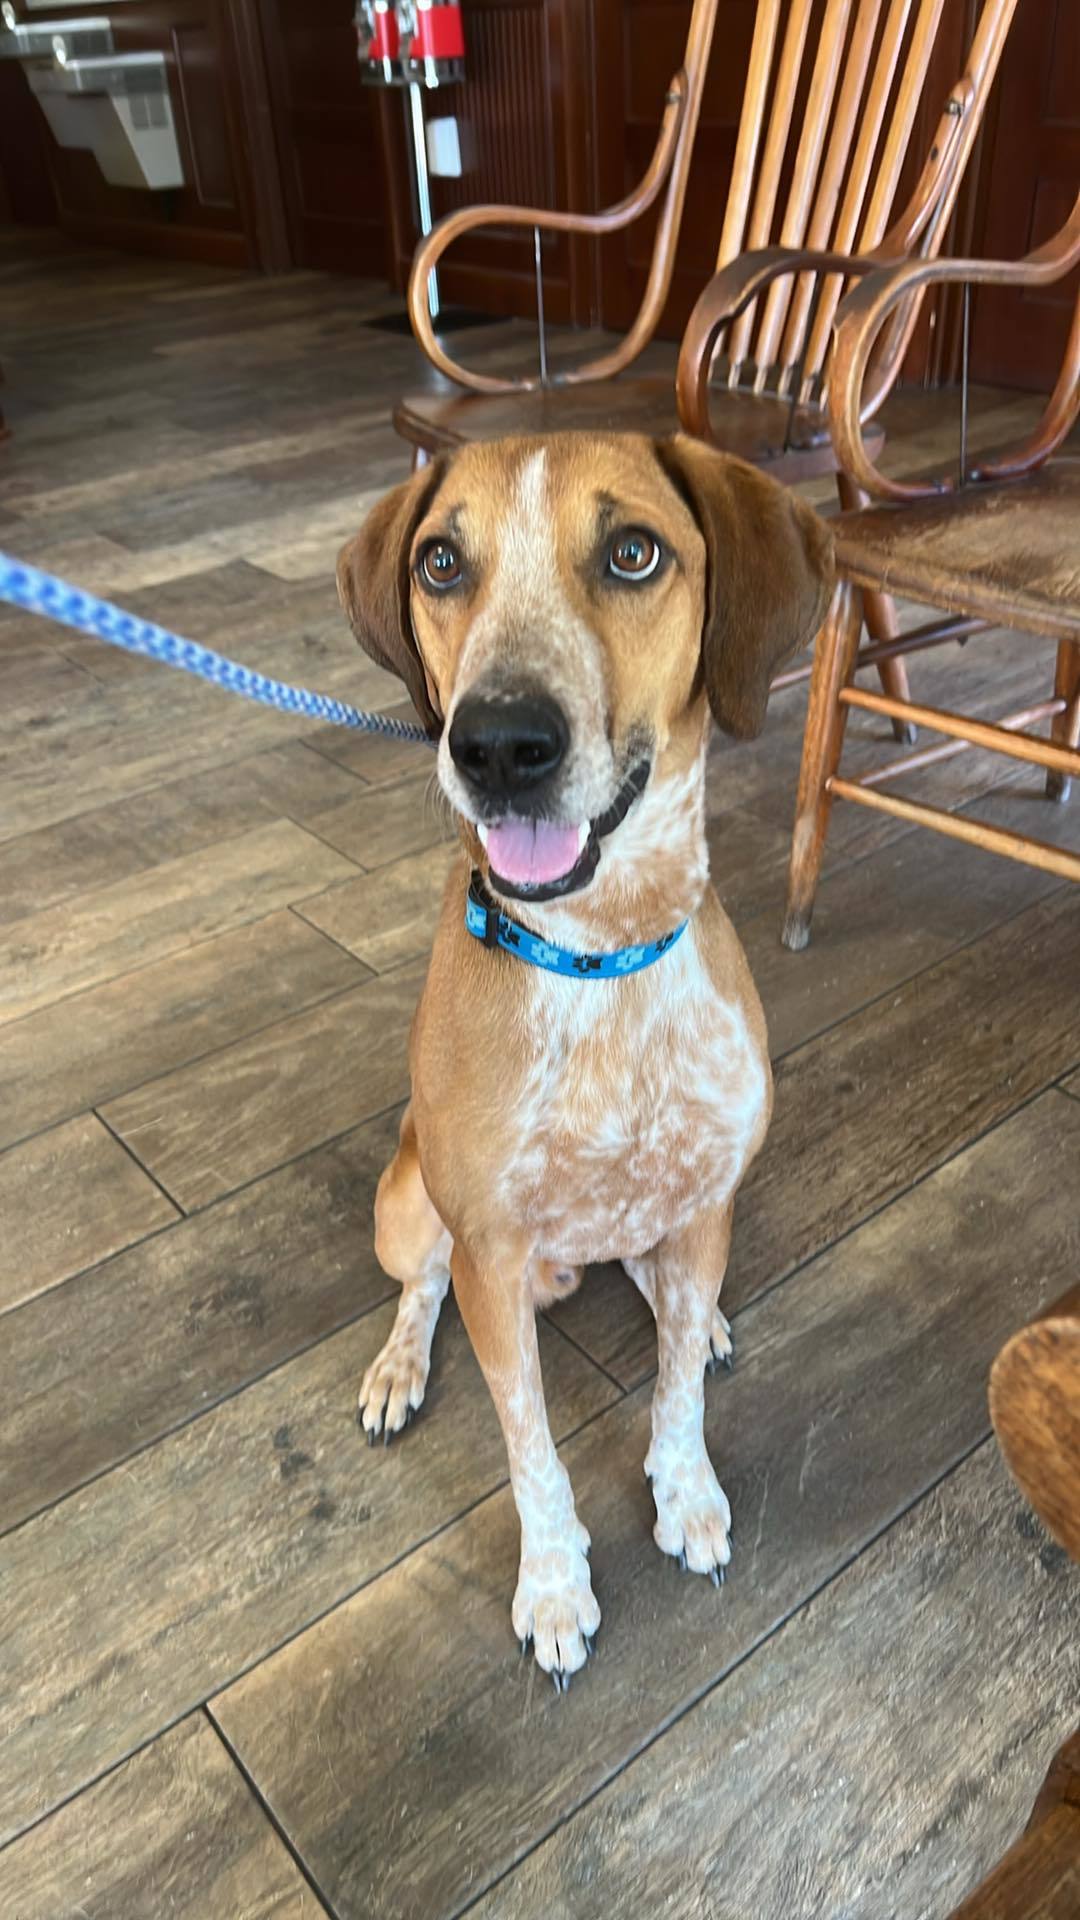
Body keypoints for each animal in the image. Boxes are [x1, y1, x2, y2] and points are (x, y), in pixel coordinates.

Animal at [336, 432, 834, 1681]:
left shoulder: (705, 1203)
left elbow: (675, 1395)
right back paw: (399, 1368)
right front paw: (555, 1584)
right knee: (417, 1286)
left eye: (634, 552)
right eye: (441, 561)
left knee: (662, 1293)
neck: (598, 956)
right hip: (407, 1205)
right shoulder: (491, 1257)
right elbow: (532, 1453)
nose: (499, 744)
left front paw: (686, 1490)